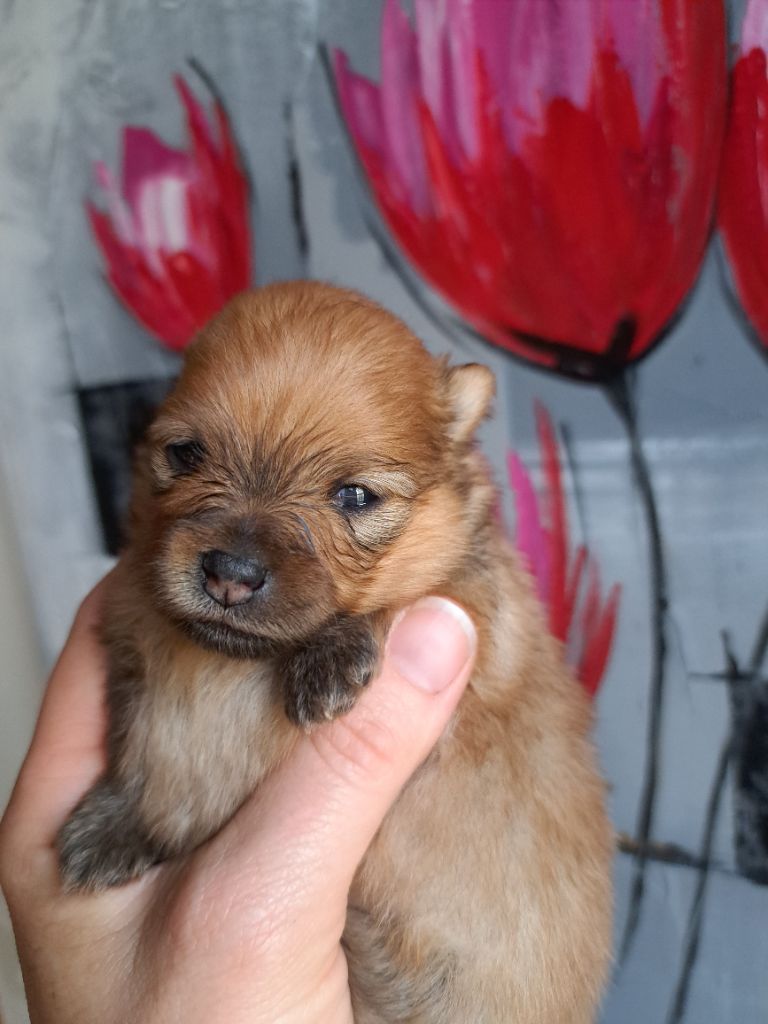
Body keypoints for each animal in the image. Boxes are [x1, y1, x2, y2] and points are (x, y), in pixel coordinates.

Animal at [59, 282, 613, 1022]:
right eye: (186, 456)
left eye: (353, 496)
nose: (230, 574)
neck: (229, 667)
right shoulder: (129, 640)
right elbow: (136, 744)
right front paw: (112, 821)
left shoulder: (476, 633)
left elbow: (411, 606)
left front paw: (330, 656)